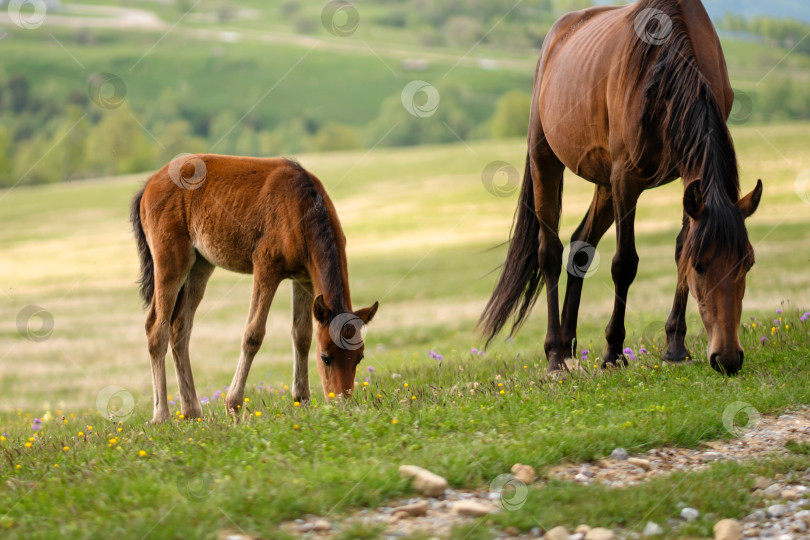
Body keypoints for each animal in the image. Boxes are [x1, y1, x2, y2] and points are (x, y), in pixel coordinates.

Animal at [129, 154, 376, 424]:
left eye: (360, 357)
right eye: (325, 357)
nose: (343, 402)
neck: (302, 207)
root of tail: (149, 184)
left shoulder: (303, 277)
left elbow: (302, 335)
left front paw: (302, 400)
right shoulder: (266, 266)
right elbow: (253, 334)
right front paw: (233, 404)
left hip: (200, 266)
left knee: (180, 328)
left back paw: (192, 412)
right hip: (171, 261)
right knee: (157, 328)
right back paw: (161, 415)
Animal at [482, 0, 760, 376]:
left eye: (748, 263)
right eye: (701, 266)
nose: (728, 358)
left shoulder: (686, 178)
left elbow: (680, 247)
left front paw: (675, 345)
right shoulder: (626, 179)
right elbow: (624, 264)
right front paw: (613, 351)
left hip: (604, 184)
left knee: (580, 247)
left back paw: (568, 345)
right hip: (547, 161)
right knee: (550, 253)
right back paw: (555, 355)